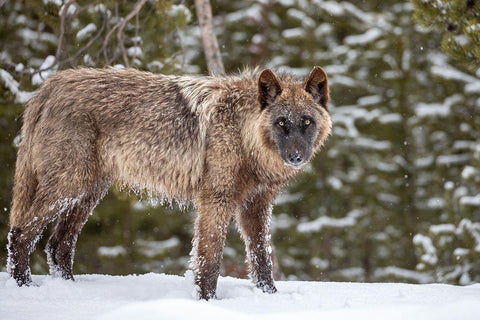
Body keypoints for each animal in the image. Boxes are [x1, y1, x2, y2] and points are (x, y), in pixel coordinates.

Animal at [7, 66, 332, 298]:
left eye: (306, 122)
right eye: (281, 123)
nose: (296, 156)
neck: (243, 134)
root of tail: (49, 86)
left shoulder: (256, 205)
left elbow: (261, 258)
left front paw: (269, 298)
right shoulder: (216, 200)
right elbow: (209, 259)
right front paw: (207, 302)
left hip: (87, 193)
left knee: (57, 245)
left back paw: (69, 291)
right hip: (69, 187)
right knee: (20, 233)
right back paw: (25, 289)